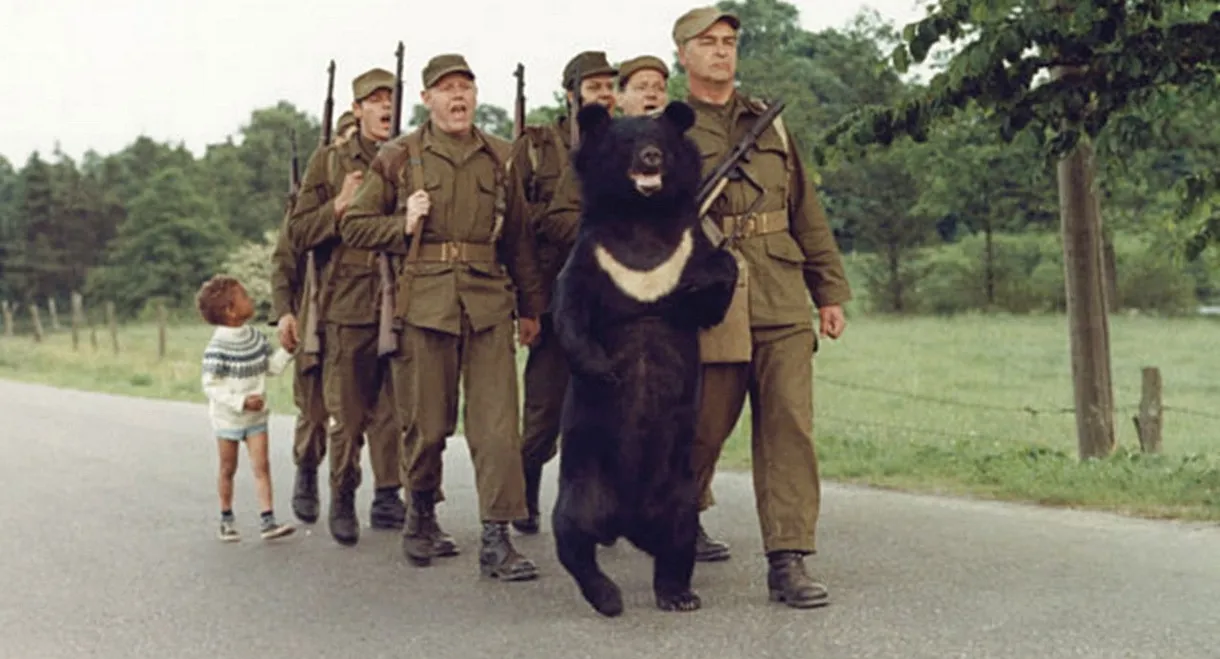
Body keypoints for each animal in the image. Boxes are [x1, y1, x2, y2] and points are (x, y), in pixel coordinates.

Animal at [548, 100, 739, 618]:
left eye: (661, 142)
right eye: (628, 143)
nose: (651, 158)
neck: (642, 216)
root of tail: (627, 524)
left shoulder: (684, 247)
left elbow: (713, 291)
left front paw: (713, 275)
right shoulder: (593, 254)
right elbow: (569, 309)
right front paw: (607, 370)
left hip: (677, 492)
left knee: (678, 540)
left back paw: (678, 595)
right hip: (583, 481)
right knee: (572, 536)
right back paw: (608, 597)